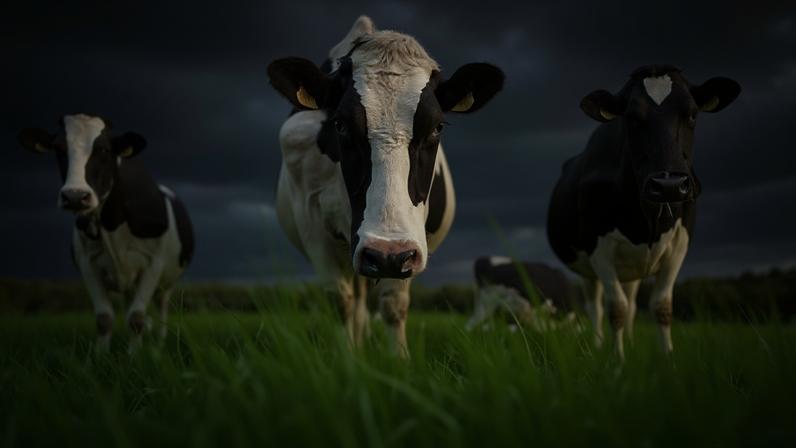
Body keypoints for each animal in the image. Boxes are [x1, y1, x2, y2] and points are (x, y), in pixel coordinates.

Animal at [18, 114, 194, 352]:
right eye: (59, 148)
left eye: (103, 149)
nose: (75, 196)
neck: (112, 223)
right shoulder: (87, 263)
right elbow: (104, 318)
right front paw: (101, 356)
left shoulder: (153, 263)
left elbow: (136, 318)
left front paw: (135, 356)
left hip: (166, 283)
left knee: (161, 307)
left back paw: (159, 344)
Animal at [266, 16, 504, 356]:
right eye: (339, 124)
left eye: (438, 127)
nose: (386, 254)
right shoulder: (312, 221)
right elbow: (339, 301)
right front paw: (348, 361)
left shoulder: (410, 244)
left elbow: (393, 305)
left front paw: (397, 361)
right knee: (355, 301)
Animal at [547, 65, 740, 358]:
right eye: (631, 117)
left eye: (692, 114)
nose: (668, 185)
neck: (644, 221)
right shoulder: (599, 250)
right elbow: (616, 308)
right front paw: (617, 361)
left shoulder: (679, 246)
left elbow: (661, 307)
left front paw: (667, 359)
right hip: (588, 269)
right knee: (597, 307)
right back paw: (598, 345)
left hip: (632, 268)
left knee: (632, 303)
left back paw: (631, 342)